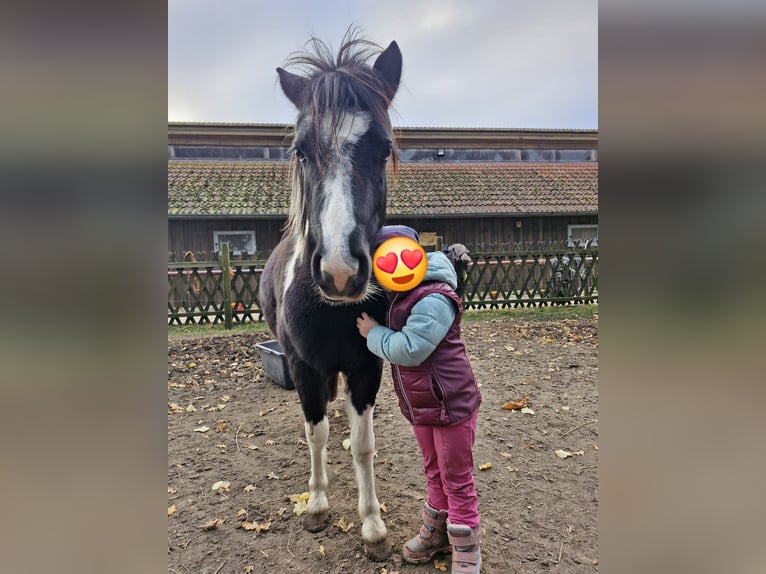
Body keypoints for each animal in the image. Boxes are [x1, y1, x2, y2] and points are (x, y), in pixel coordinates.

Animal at [258, 32, 402, 564]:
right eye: (300, 151)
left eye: (383, 149)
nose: (340, 271)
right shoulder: (303, 366)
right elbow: (313, 431)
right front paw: (317, 504)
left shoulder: (367, 367)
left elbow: (363, 443)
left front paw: (373, 526)